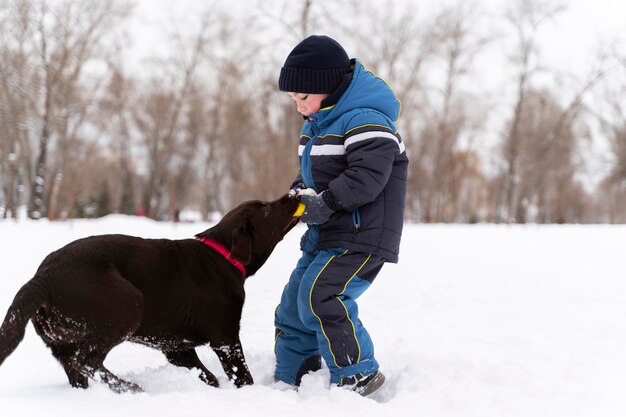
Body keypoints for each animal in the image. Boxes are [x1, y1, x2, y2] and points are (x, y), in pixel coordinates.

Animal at [0, 193, 300, 392]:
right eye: (265, 208)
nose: (292, 193)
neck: (222, 255)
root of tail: (42, 278)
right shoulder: (225, 337)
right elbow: (240, 374)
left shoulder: (176, 348)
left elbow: (206, 375)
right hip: (126, 306)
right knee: (86, 361)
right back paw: (130, 387)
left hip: (63, 341)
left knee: (76, 368)